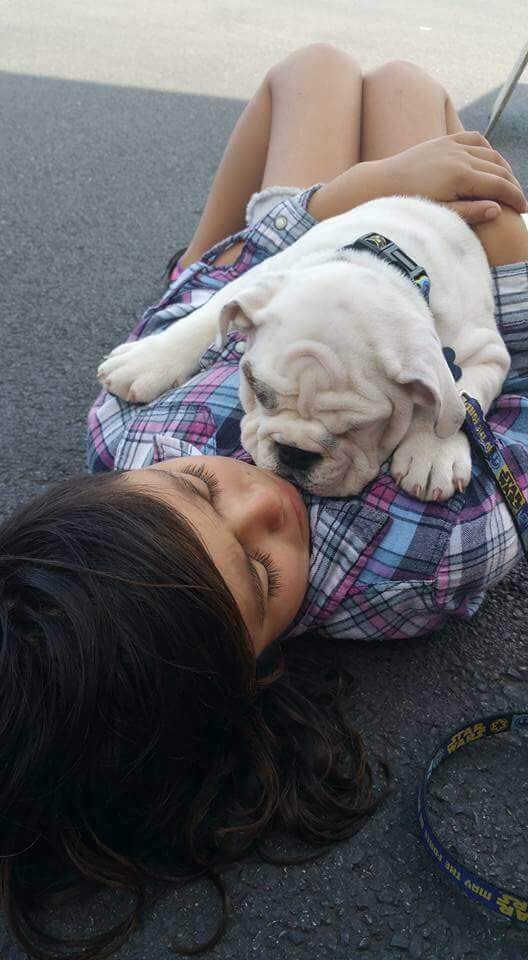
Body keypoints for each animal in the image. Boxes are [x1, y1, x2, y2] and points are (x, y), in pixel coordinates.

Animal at [97, 192, 510, 498]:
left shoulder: (485, 353)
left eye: (361, 427)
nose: (294, 452)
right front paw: (147, 359)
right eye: (256, 390)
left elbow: (457, 398)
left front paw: (432, 452)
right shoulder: (259, 280)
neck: (386, 269)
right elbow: (204, 317)